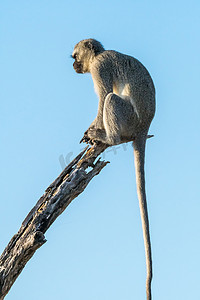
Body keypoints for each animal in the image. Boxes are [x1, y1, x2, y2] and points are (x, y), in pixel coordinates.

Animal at [71, 38, 155, 298]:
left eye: (74, 56)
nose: (74, 65)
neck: (100, 54)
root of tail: (144, 127)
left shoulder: (100, 68)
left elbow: (103, 96)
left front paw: (93, 130)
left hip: (129, 119)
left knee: (110, 99)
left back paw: (109, 137)